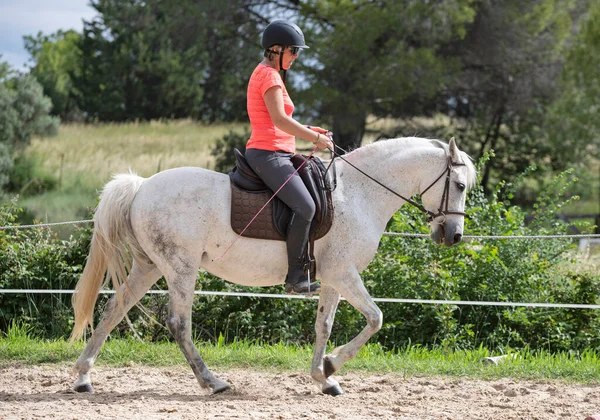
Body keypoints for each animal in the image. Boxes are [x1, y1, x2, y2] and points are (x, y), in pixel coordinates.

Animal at [70, 136, 476, 396]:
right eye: (458, 185)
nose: (453, 235)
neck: (360, 193)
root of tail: (140, 187)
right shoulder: (344, 273)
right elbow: (376, 318)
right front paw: (332, 366)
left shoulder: (332, 278)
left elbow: (324, 325)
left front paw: (324, 378)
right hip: (180, 268)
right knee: (178, 323)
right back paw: (212, 382)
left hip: (150, 266)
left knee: (113, 309)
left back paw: (83, 378)